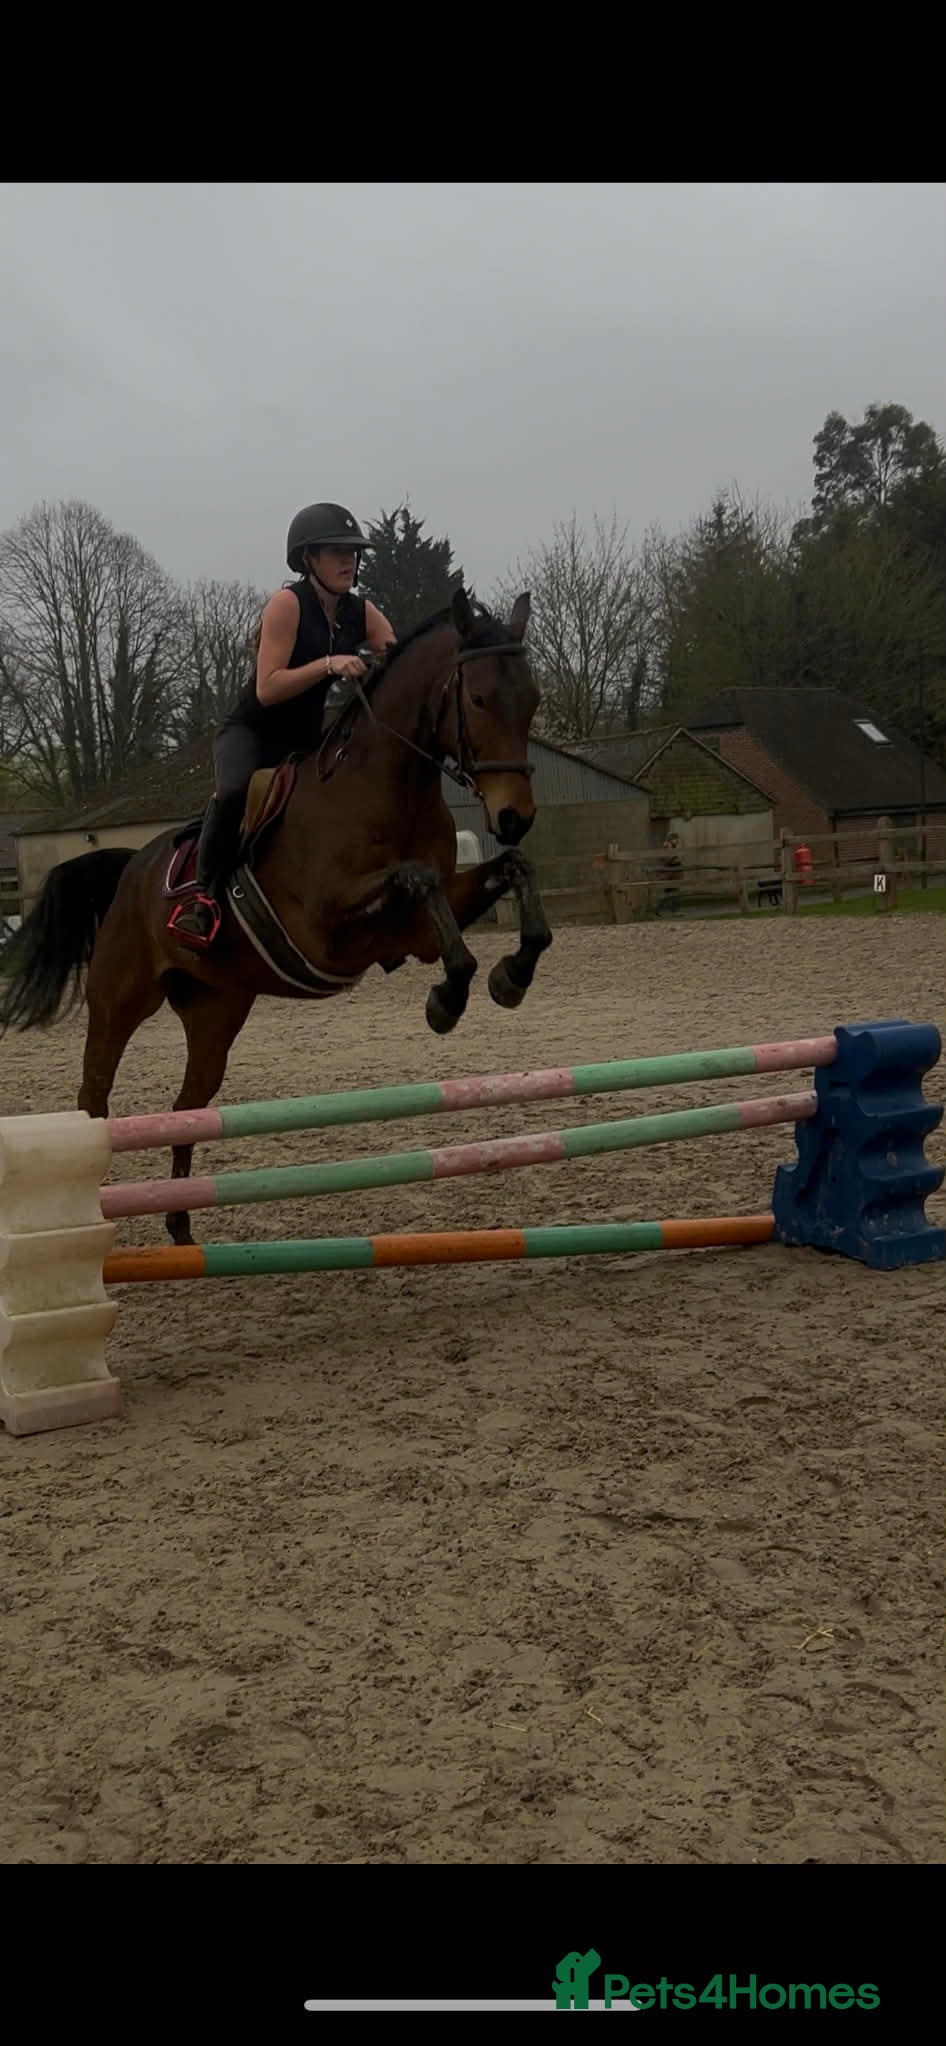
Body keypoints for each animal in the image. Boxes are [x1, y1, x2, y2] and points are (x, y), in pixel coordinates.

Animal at [0, 588, 553, 1247]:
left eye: (533, 699)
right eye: (479, 698)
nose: (515, 816)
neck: (387, 787)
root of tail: (132, 865)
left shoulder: (414, 927)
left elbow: (509, 870)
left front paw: (510, 975)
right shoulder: (327, 926)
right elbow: (417, 878)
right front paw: (449, 997)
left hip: (216, 1009)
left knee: (188, 1106)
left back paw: (181, 1225)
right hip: (120, 1001)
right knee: (94, 1096)